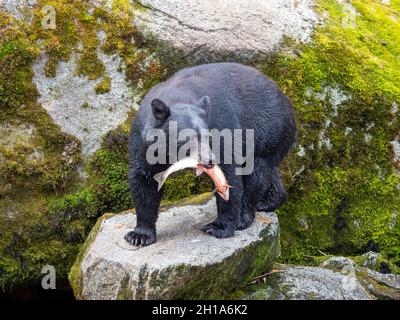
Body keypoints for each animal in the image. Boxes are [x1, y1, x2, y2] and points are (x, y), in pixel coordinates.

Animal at [126, 63, 296, 248]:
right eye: (187, 138)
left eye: (208, 136)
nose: (209, 161)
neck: (179, 96)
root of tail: (286, 100)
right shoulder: (143, 142)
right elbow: (144, 179)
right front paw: (139, 235)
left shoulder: (222, 125)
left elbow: (228, 173)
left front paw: (219, 227)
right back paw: (269, 201)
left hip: (267, 130)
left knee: (256, 174)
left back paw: (244, 216)